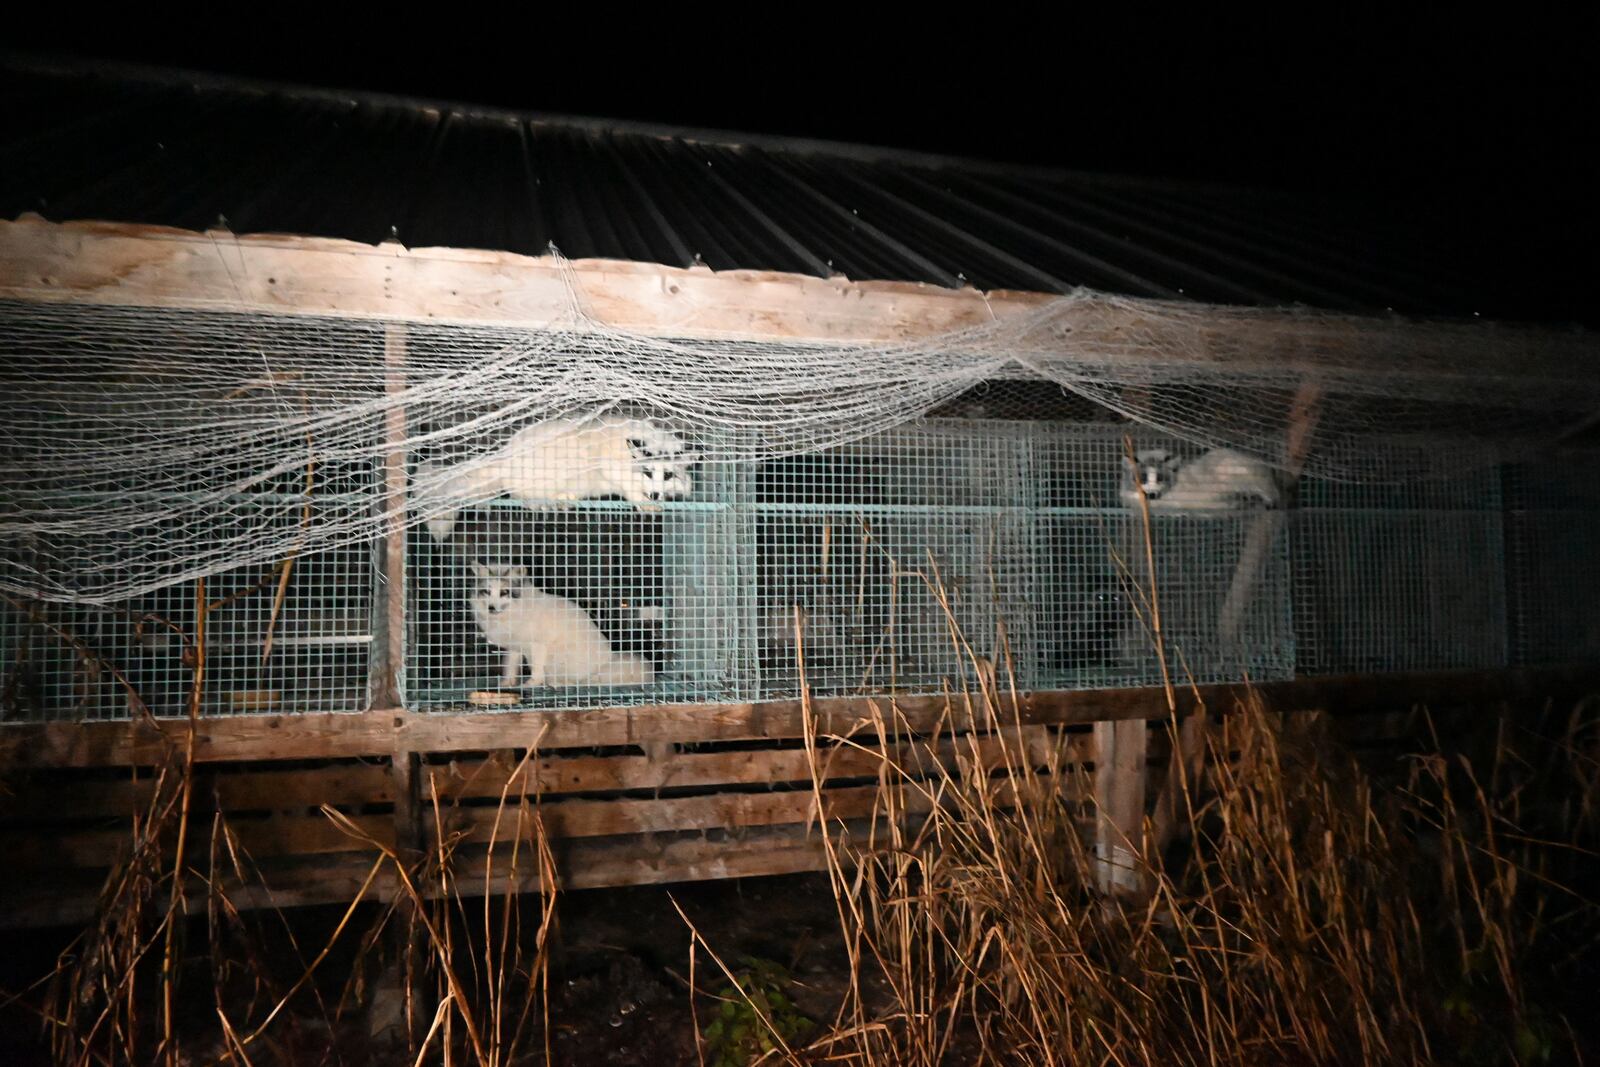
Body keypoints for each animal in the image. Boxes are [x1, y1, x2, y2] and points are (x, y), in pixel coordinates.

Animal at [416, 412, 697, 543]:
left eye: (668, 474)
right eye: (648, 472)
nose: (656, 493)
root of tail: (503, 458)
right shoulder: (612, 470)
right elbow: (629, 489)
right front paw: (645, 503)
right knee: (522, 496)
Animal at [467, 563, 656, 687]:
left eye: (504, 592)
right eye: (487, 592)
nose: (491, 608)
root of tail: (606, 663)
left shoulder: (537, 644)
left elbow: (536, 669)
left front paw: (531, 684)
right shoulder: (514, 646)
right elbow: (510, 666)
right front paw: (507, 683)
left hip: (557, 657)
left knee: (580, 681)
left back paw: (559, 682)